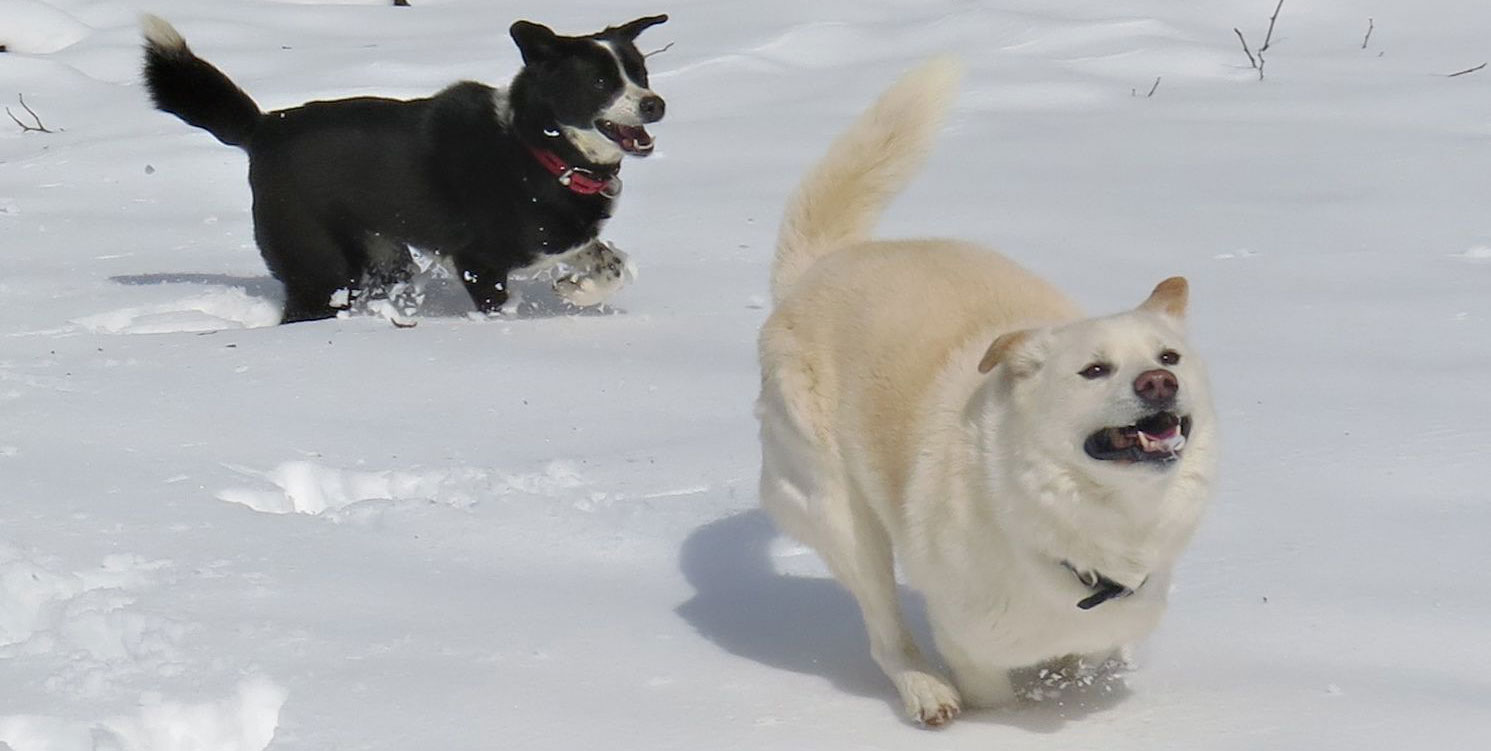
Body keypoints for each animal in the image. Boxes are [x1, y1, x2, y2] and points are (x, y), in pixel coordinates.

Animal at [142, 15, 667, 323]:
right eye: (600, 82)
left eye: (640, 72)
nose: (655, 104)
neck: (535, 147)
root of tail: (264, 126)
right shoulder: (478, 263)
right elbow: (501, 307)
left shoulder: (561, 237)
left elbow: (613, 264)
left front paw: (576, 290)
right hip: (320, 266)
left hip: (383, 254)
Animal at [751, 59, 1216, 727]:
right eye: (1094, 370)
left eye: (1168, 357)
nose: (1159, 383)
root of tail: (818, 269)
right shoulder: (972, 646)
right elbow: (995, 694)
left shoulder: (1107, 628)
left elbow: (1085, 659)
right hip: (840, 515)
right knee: (885, 632)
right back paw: (925, 690)